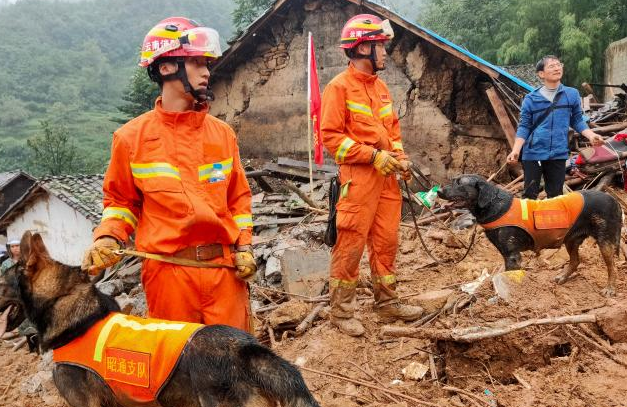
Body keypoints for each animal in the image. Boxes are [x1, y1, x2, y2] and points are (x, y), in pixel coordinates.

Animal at [436, 175, 624, 296]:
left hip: (605, 241)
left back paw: (610, 289)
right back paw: (563, 277)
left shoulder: (512, 255)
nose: (438, 191)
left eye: (459, 183)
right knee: (576, 260)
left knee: (612, 267)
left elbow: (510, 276)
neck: (494, 205)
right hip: (571, 239)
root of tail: (614, 200)